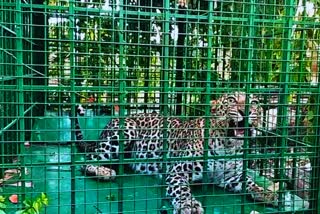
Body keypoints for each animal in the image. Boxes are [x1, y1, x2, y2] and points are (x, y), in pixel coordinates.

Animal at [72, 92, 278, 214]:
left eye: (254, 102)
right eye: (231, 100)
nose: (247, 111)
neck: (227, 146)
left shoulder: (231, 176)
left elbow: (250, 183)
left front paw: (267, 193)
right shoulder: (178, 171)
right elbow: (182, 190)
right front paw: (189, 205)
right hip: (123, 133)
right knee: (86, 160)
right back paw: (103, 171)